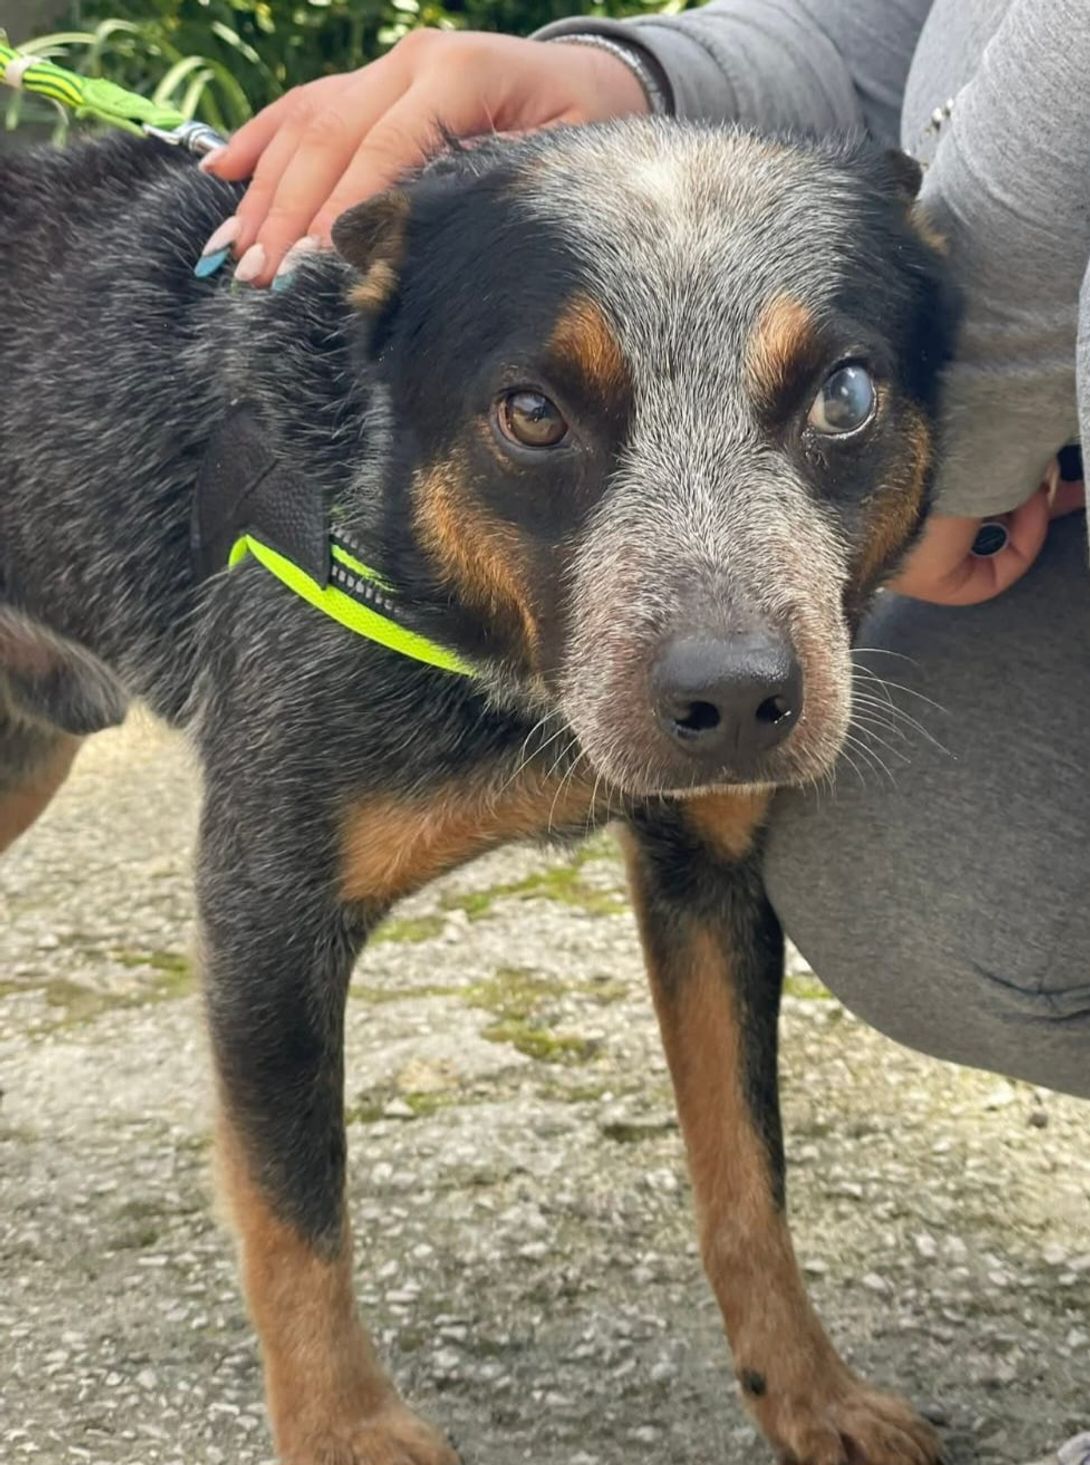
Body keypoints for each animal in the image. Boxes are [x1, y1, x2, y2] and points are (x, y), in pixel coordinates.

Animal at [0, 119, 955, 1464]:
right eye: (532, 412)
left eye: (847, 395)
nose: (733, 699)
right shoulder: (263, 909)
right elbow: (297, 1219)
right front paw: (345, 1432)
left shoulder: (708, 875)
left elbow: (747, 1175)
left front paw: (807, 1389)